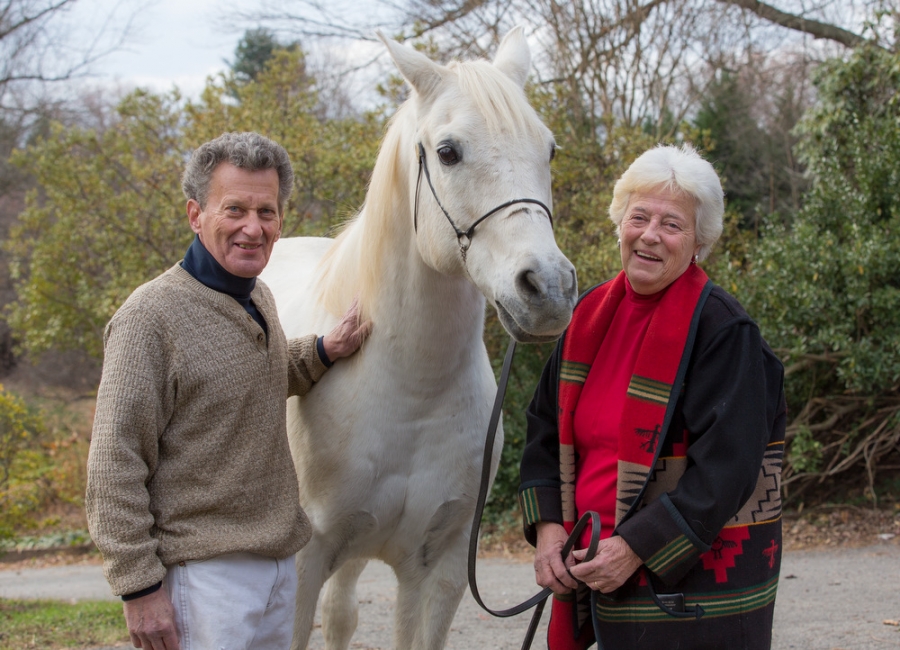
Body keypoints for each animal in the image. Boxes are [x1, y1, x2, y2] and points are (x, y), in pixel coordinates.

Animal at [262, 27, 576, 648]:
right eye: (449, 151)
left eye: (549, 149)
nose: (548, 289)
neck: (410, 389)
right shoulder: (304, 564)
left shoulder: (440, 566)